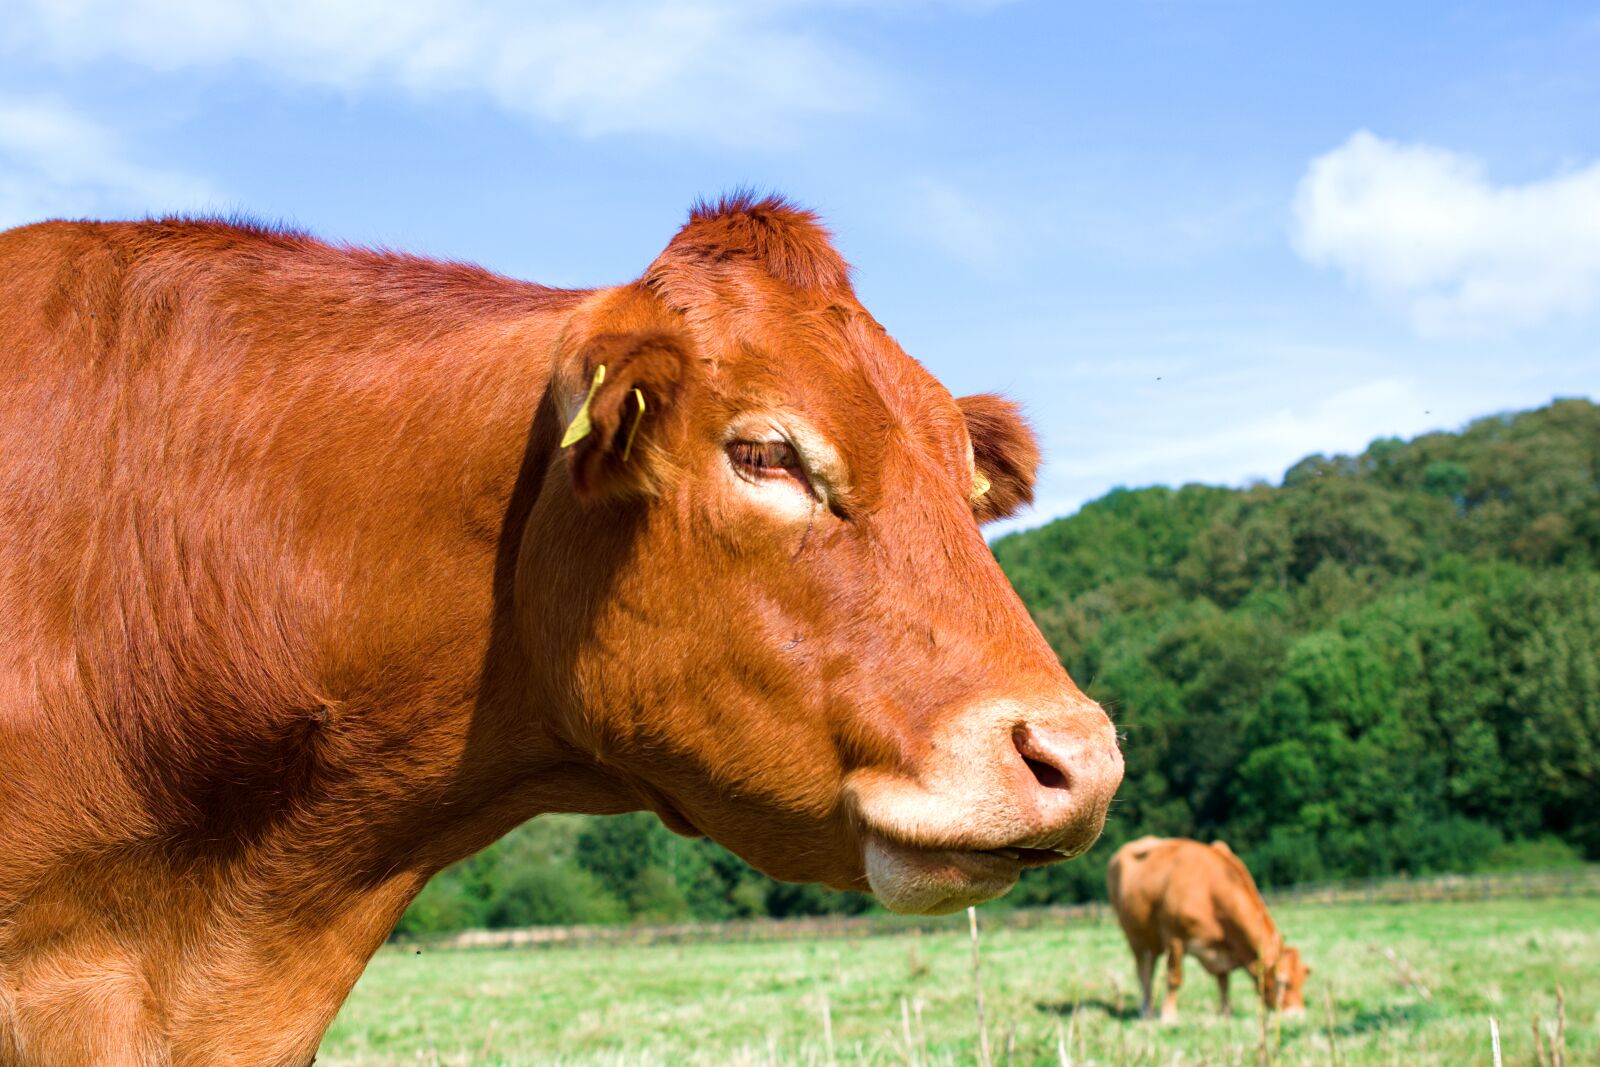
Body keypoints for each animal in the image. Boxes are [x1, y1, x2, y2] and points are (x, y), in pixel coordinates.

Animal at [1106, 836, 1309, 1022]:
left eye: (1303, 980)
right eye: (1283, 983)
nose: (1298, 1015)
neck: (1210, 891)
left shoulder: (1222, 949)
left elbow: (1224, 982)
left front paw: (1226, 1012)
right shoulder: (1174, 938)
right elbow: (1174, 978)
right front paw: (1169, 1015)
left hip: (1150, 940)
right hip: (1133, 936)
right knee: (1144, 972)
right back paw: (1146, 1010)